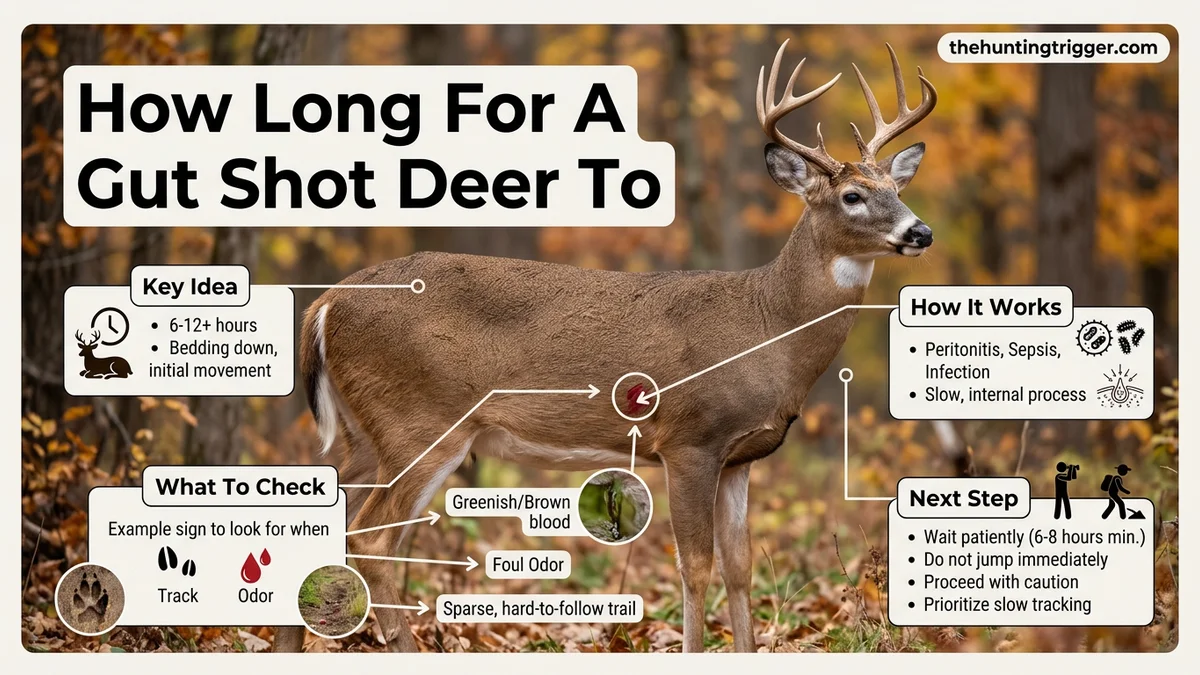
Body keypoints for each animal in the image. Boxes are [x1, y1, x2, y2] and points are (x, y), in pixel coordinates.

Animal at [274, 41, 936, 653]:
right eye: (852, 196)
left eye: (896, 188)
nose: (921, 231)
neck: (765, 327)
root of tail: (324, 304)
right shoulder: (689, 438)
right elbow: (696, 567)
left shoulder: (740, 457)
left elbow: (741, 568)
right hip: (421, 420)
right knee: (372, 540)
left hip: (364, 434)